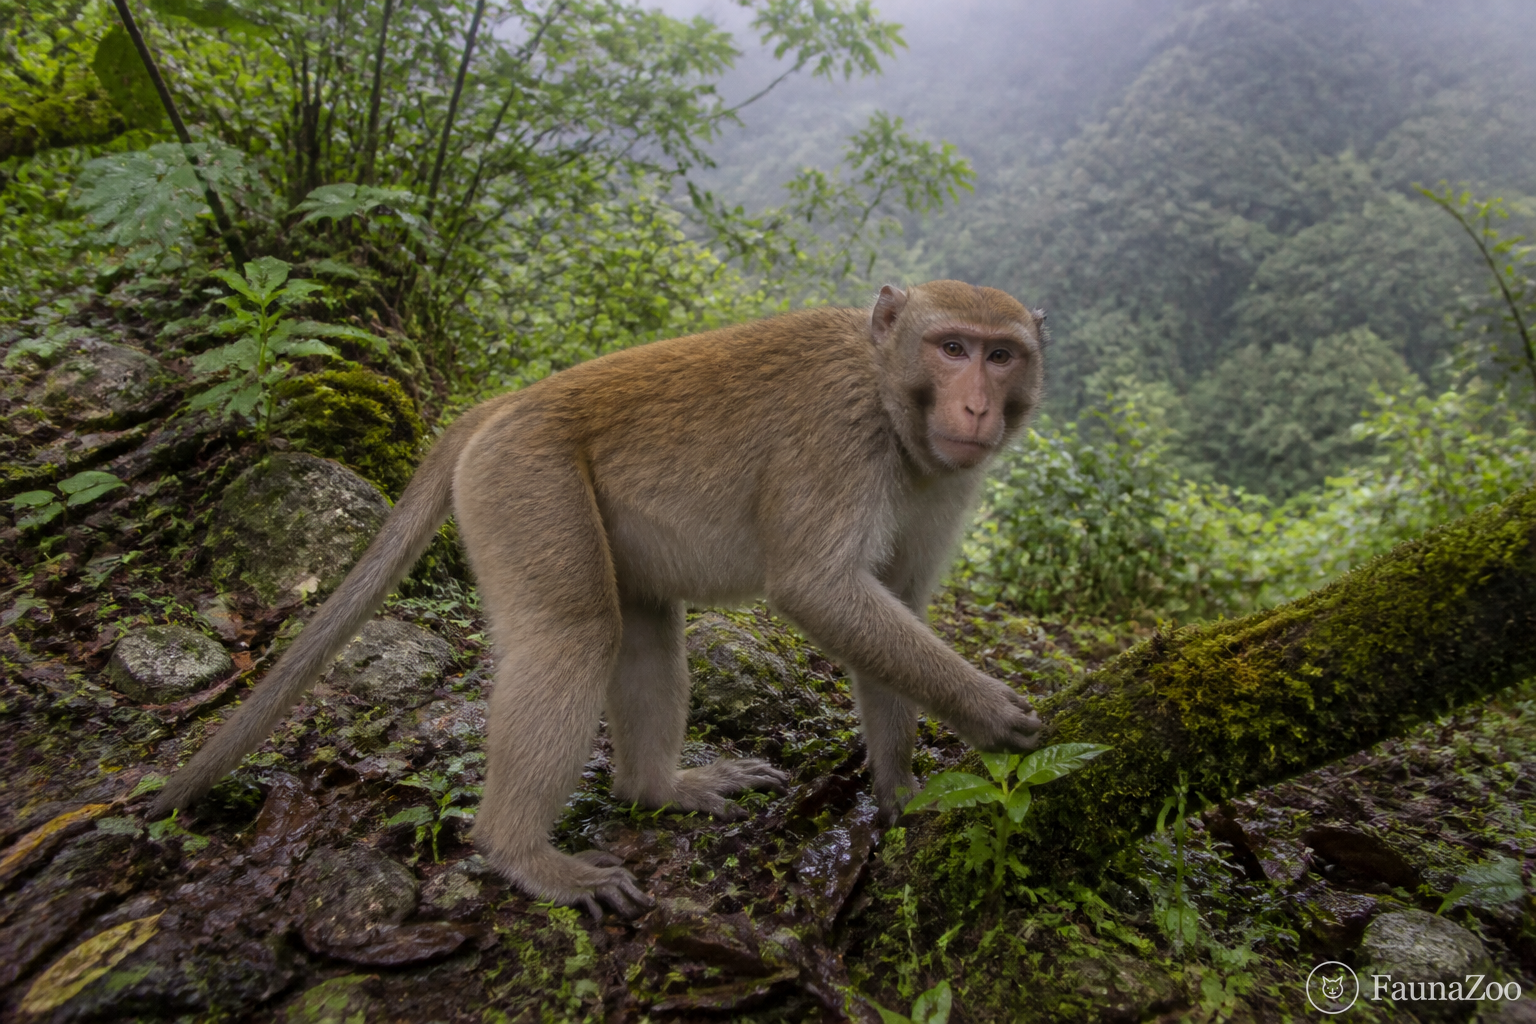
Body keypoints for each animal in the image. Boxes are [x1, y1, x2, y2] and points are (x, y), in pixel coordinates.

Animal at [152, 280, 1047, 917]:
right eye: (952, 348)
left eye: (1002, 356)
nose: (976, 406)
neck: (892, 402)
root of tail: (509, 401)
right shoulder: (837, 433)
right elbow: (819, 589)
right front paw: (989, 713)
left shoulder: (943, 482)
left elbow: (892, 603)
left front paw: (902, 790)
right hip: (526, 480)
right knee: (574, 634)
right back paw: (519, 853)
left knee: (645, 626)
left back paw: (656, 789)